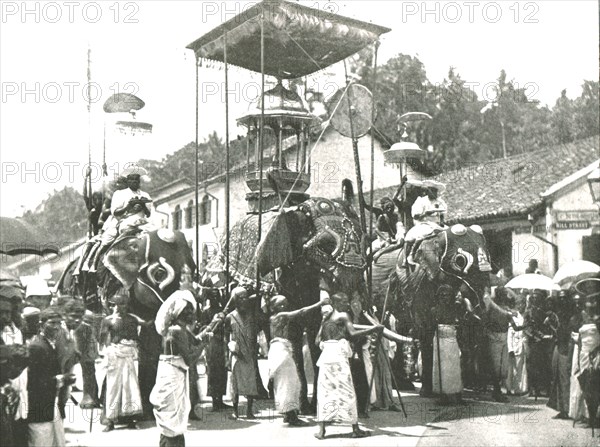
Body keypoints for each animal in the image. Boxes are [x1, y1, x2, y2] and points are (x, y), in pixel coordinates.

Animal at [218, 196, 368, 412]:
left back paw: (271, 391)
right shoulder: (286, 274)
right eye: (324, 247)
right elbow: (294, 331)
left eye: (365, 244)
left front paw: (314, 406)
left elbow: (315, 331)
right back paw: (260, 393)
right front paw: (303, 406)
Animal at [372, 226, 494, 398]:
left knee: (400, 329)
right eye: (460, 261)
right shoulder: (420, 285)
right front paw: (427, 393)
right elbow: (426, 331)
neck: (436, 237)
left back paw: (405, 385)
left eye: (489, 259)